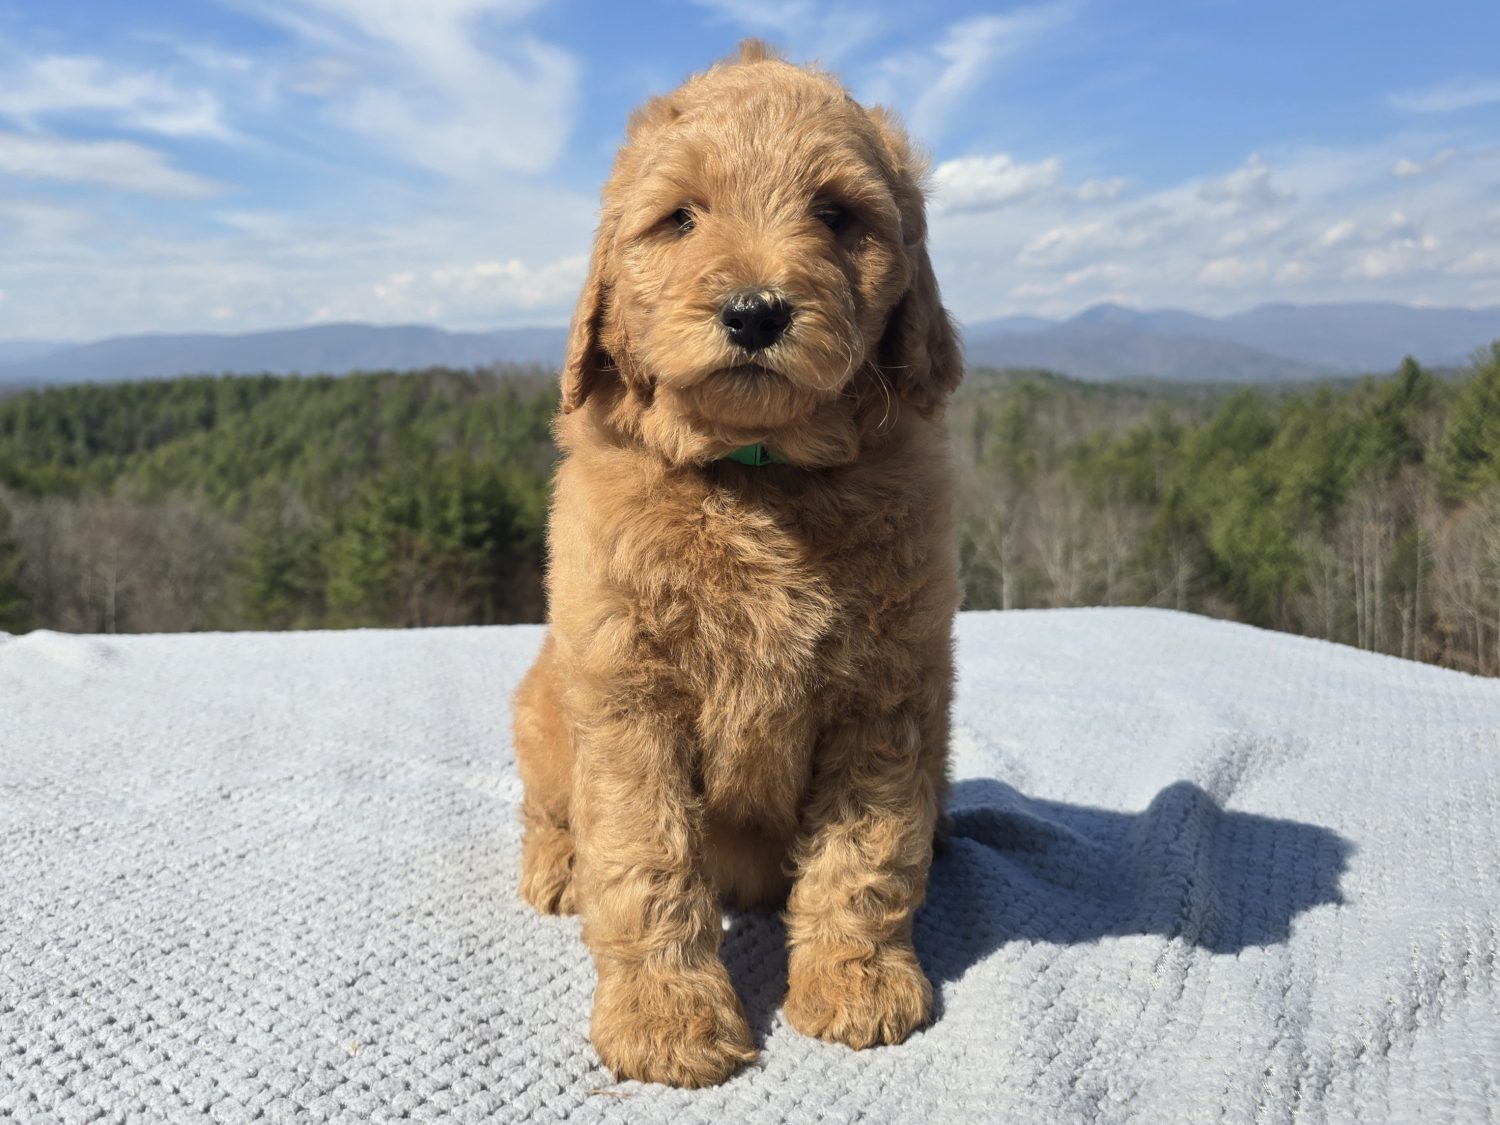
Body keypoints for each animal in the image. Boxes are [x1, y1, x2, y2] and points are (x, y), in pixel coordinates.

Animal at [512, 40, 962, 1088]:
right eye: (680, 219)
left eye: (836, 216)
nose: (754, 313)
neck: (757, 478)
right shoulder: (629, 693)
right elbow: (644, 859)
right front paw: (667, 1017)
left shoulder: (886, 695)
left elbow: (867, 848)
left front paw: (857, 979)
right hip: (542, 707)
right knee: (548, 809)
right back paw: (556, 866)